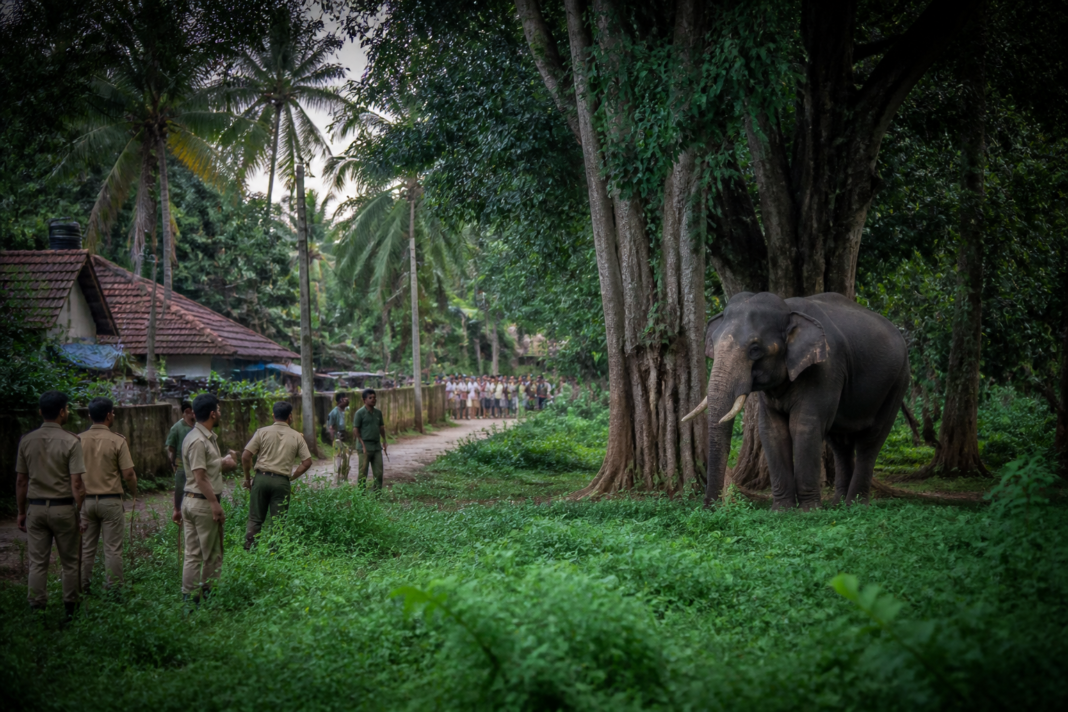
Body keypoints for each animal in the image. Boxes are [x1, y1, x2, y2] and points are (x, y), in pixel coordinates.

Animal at [682, 292, 909, 510]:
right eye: (713, 344)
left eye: (755, 349)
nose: (710, 508)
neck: (788, 308)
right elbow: (772, 429)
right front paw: (782, 510)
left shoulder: (826, 368)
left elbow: (804, 425)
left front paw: (808, 511)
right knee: (839, 443)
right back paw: (839, 504)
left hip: (897, 382)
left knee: (870, 440)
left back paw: (856, 505)